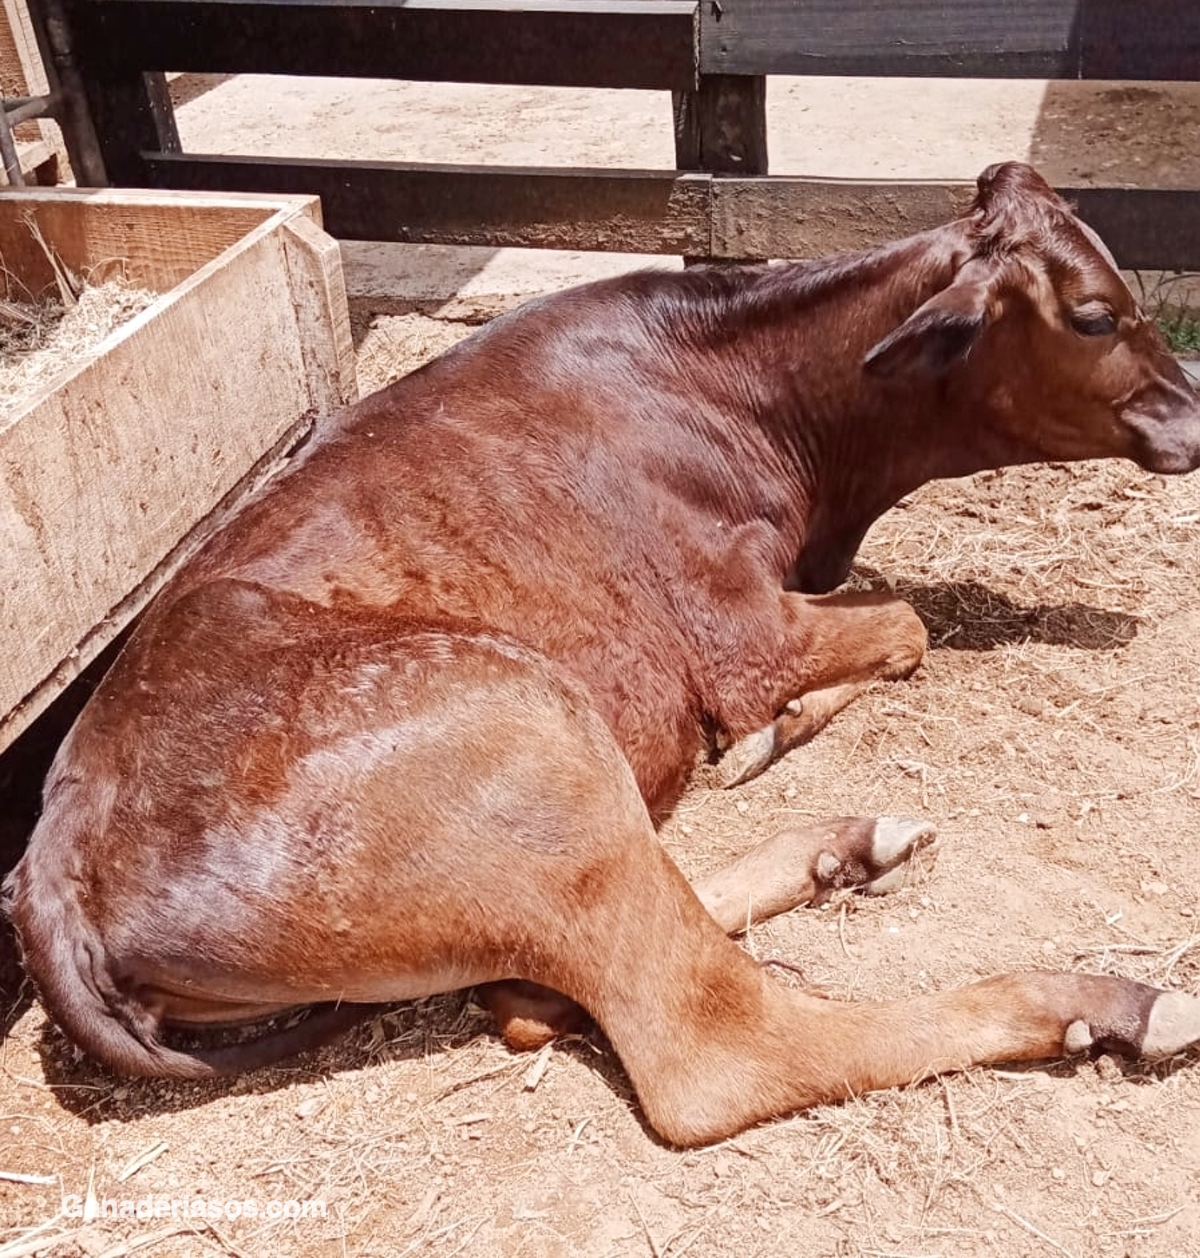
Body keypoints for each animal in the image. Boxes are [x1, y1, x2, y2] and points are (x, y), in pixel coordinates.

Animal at [2, 162, 1197, 1147]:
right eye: (1097, 314)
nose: (1194, 413)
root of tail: (56, 858)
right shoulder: (739, 631)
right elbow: (909, 623)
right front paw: (772, 731)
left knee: (554, 982)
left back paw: (846, 848)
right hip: (524, 716)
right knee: (706, 1039)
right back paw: (1105, 1003)